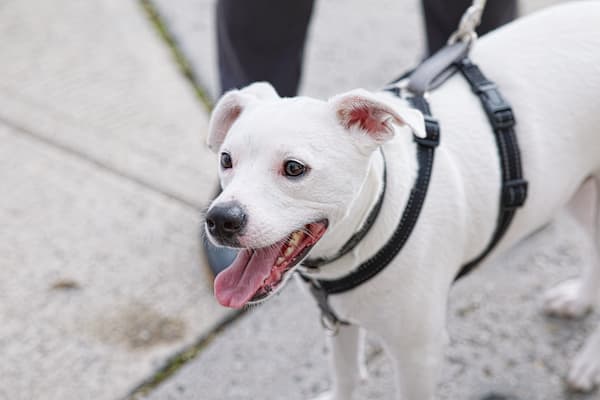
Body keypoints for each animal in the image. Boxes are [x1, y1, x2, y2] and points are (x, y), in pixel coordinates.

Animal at [203, 2, 600, 396]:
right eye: (226, 160)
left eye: (294, 168)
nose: (221, 219)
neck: (375, 217)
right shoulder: (339, 324)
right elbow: (346, 375)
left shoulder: (418, 355)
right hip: (580, 193)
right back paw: (578, 301)